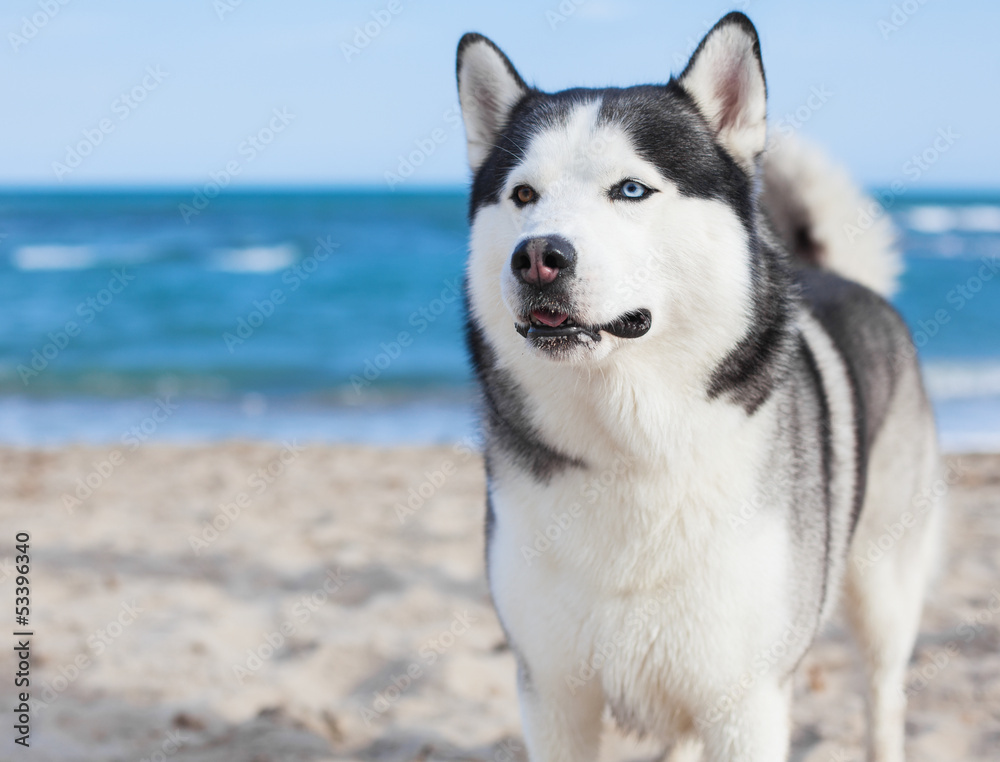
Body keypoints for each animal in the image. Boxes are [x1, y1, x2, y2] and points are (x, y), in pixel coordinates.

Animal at [458, 11, 940, 760]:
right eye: (523, 195)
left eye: (631, 189)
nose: (537, 256)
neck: (630, 446)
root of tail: (842, 277)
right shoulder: (554, 696)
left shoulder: (746, 706)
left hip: (883, 590)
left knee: (884, 695)